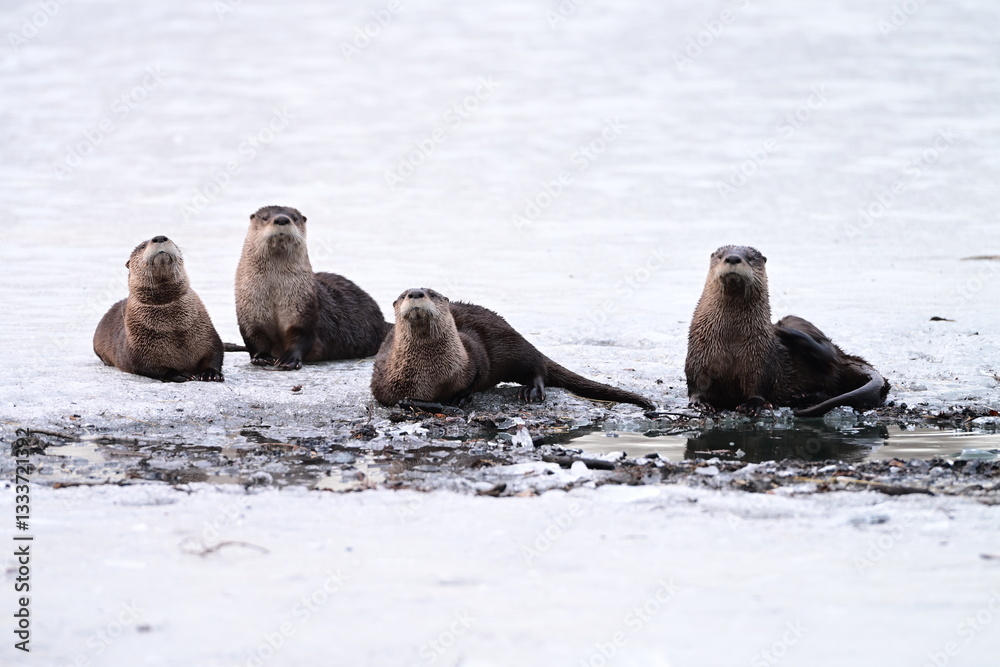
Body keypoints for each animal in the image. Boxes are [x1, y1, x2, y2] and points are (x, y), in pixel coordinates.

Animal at [93, 236, 224, 382]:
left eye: (173, 241)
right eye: (143, 246)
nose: (160, 237)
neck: (174, 328)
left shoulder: (208, 336)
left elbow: (215, 354)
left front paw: (211, 373)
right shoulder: (137, 350)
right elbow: (147, 366)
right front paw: (177, 374)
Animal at [235, 206, 391, 369]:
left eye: (294, 218)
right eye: (265, 217)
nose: (282, 219)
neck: (275, 292)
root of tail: (382, 322)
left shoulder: (305, 311)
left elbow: (302, 336)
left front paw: (288, 359)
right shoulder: (250, 313)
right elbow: (253, 337)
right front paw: (261, 357)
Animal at [371, 288, 655, 410]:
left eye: (431, 292)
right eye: (404, 294)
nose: (416, 293)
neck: (433, 375)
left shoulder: (470, 353)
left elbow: (477, 372)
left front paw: (461, 396)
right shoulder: (383, 377)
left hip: (513, 345)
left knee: (537, 365)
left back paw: (531, 390)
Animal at [685, 245, 889, 416]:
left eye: (750, 258)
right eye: (720, 256)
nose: (733, 258)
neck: (731, 338)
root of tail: (845, 356)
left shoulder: (760, 357)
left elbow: (758, 385)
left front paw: (753, 404)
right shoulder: (699, 354)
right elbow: (696, 382)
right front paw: (699, 403)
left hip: (800, 323)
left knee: (829, 356)